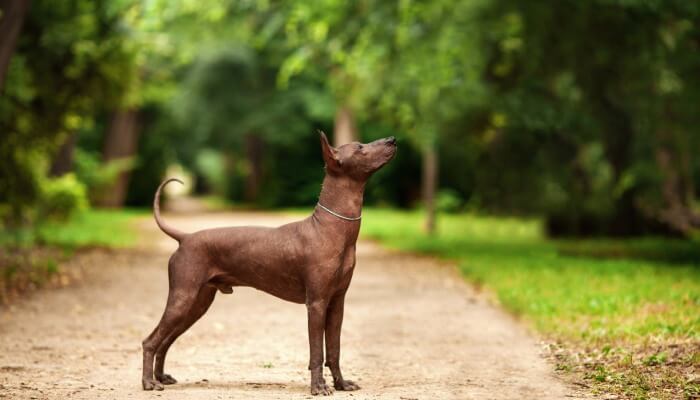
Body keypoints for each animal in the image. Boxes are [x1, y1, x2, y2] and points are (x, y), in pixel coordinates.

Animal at [139, 131, 396, 394]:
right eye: (360, 148)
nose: (392, 140)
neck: (331, 228)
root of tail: (185, 237)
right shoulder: (316, 303)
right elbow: (317, 352)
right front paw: (318, 387)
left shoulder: (337, 303)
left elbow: (334, 350)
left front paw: (341, 384)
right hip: (183, 298)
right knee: (150, 341)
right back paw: (149, 382)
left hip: (197, 303)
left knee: (165, 341)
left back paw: (161, 377)